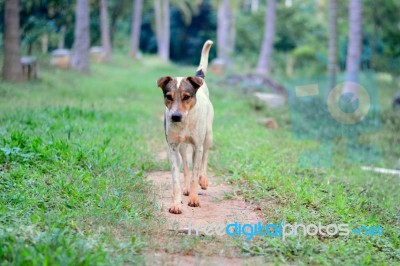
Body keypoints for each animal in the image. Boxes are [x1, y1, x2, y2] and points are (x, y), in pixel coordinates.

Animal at [155, 40, 214, 214]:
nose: (175, 116)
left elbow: (195, 173)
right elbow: (176, 178)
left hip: (208, 135)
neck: (185, 122)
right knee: (186, 167)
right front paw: (176, 203)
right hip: (182, 146)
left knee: (204, 157)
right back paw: (186, 188)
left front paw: (194, 198)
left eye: (187, 97)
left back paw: (203, 179)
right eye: (168, 96)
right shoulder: (173, 147)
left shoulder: (197, 146)